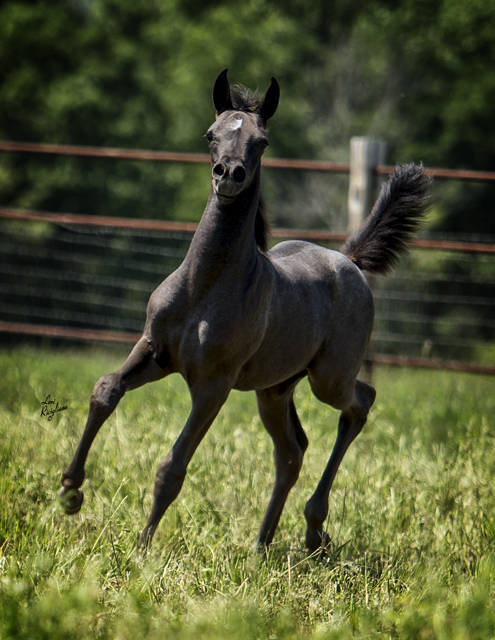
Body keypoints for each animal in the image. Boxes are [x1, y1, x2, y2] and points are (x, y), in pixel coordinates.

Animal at [59, 69, 429, 552]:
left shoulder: (213, 384)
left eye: (262, 141)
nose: (229, 175)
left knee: (359, 402)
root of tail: (348, 260)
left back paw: (313, 528)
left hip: (328, 378)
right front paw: (70, 490)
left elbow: (172, 466)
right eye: (211, 134)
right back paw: (263, 545)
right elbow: (105, 390)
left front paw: (142, 549)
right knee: (291, 451)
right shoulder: (154, 351)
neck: (205, 288)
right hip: (274, 390)